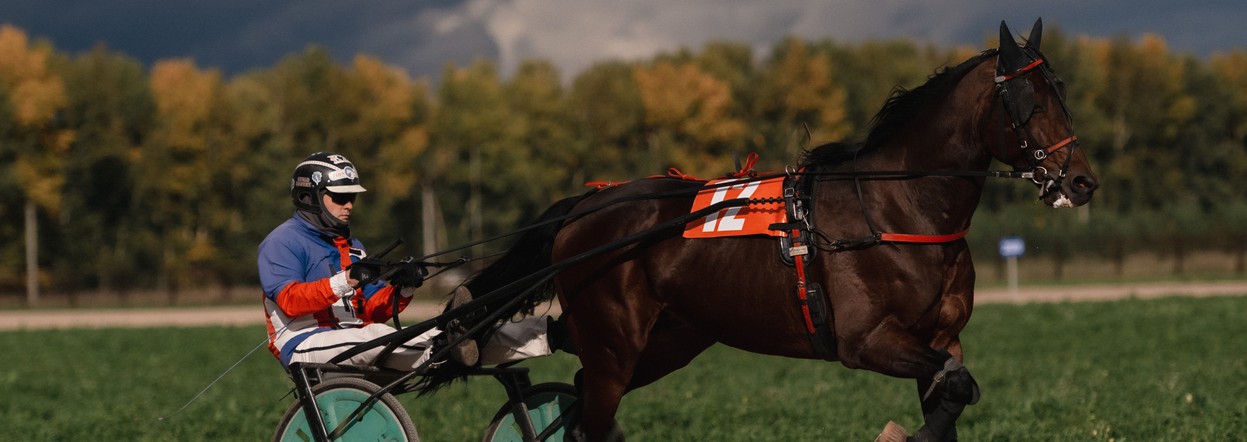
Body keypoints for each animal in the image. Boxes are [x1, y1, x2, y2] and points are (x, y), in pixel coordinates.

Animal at [456, 20, 1092, 442]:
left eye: (1062, 91)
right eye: (1028, 100)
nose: (1081, 181)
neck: (897, 210)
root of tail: (588, 205)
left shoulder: (941, 340)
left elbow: (956, 389)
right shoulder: (866, 342)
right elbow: (954, 388)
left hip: (671, 338)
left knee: (583, 387)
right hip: (616, 339)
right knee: (590, 405)